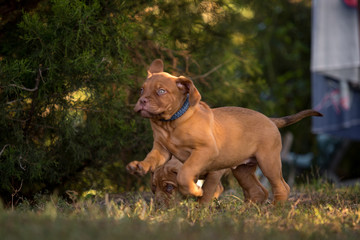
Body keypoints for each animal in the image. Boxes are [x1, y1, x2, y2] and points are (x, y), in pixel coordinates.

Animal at [127, 59, 324, 202]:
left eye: (161, 91)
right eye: (142, 90)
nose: (142, 101)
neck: (171, 124)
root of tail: (270, 119)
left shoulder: (206, 152)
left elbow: (187, 176)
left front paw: (196, 194)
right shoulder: (162, 150)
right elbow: (152, 159)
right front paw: (139, 166)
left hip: (269, 161)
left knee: (281, 187)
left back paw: (277, 212)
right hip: (243, 169)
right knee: (257, 191)